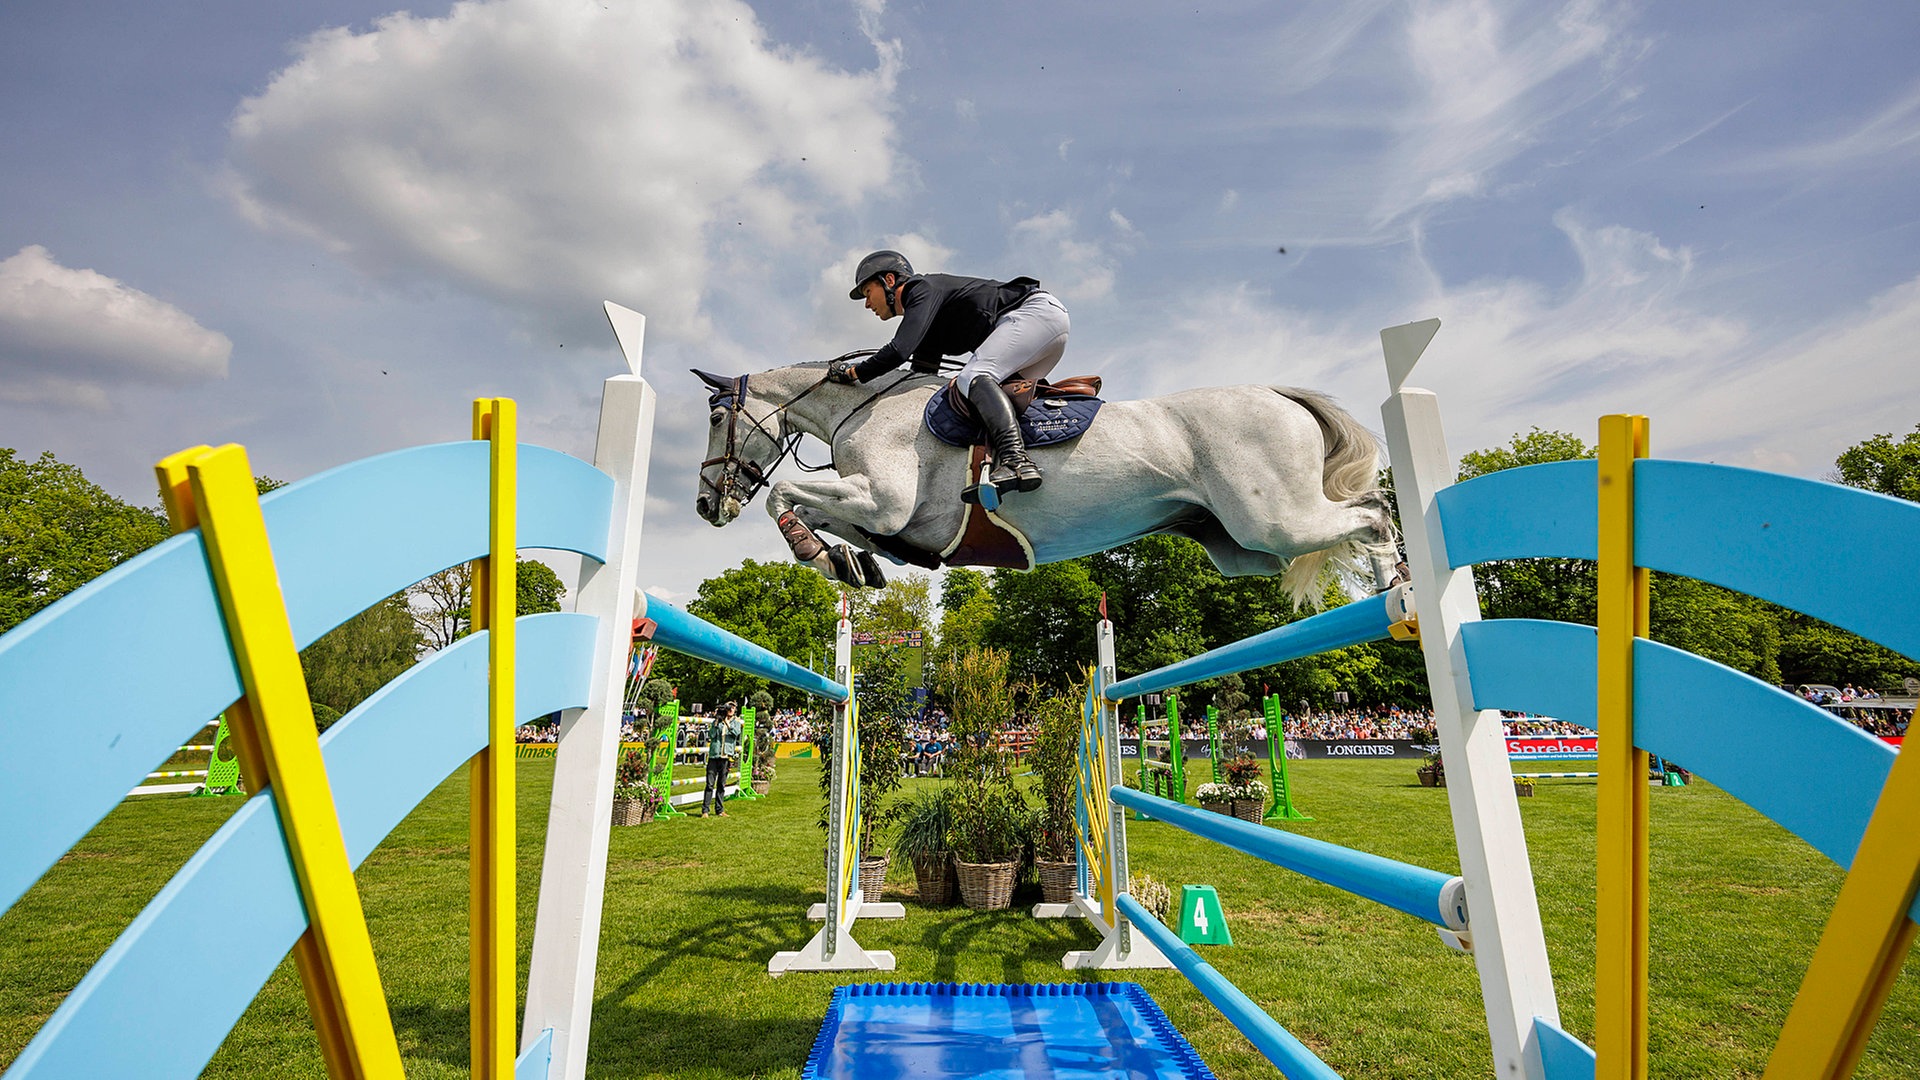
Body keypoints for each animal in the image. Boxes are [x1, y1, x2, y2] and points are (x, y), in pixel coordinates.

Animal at [691, 363, 1397, 607]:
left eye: (718, 418)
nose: (704, 505)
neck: (862, 407)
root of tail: (1280, 394)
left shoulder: (881, 499)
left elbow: (784, 495)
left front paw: (819, 555)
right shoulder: (891, 519)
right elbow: (832, 520)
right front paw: (848, 563)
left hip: (1275, 518)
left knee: (1372, 513)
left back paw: (1397, 588)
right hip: (1241, 548)